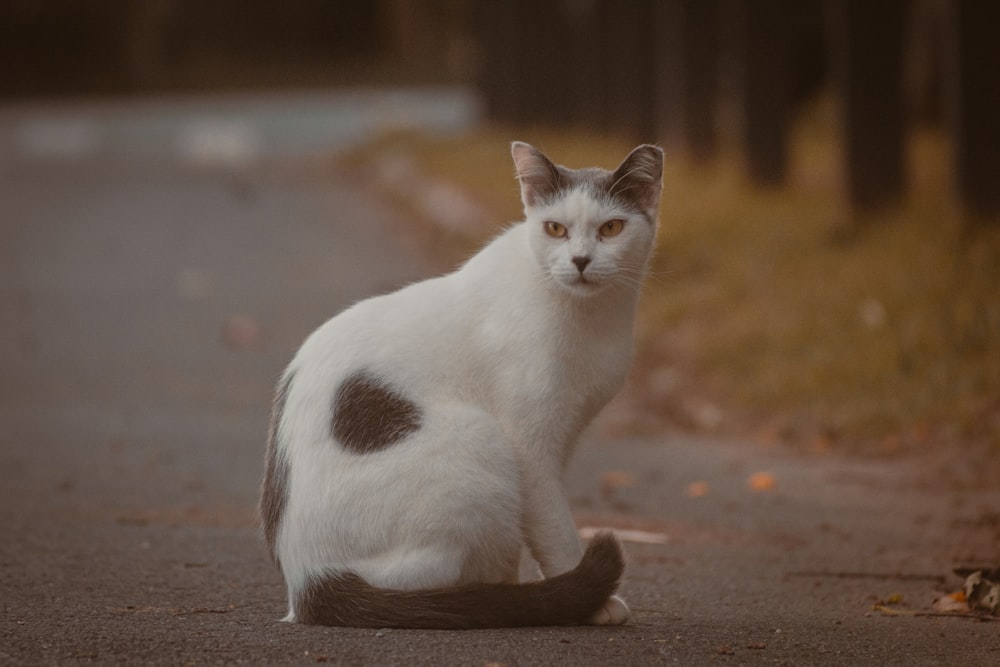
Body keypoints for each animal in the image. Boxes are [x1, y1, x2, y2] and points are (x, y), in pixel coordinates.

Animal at [260, 141, 664, 632]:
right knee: (423, 578)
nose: (581, 261)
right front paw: (583, 598)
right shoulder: (530, 449)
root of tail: (306, 582)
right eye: (555, 229)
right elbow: (554, 529)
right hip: (477, 442)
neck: (592, 318)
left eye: (611, 228)